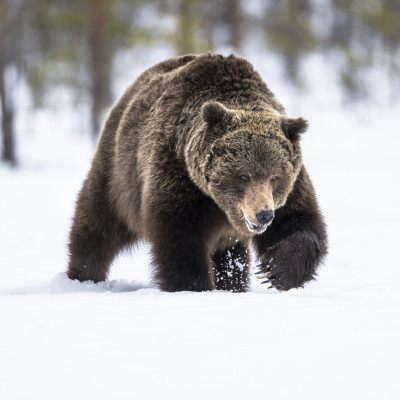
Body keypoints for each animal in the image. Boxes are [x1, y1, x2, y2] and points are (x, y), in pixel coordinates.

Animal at [66, 52, 328, 290]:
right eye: (243, 176)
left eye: (275, 177)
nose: (264, 214)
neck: (219, 205)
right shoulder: (178, 175)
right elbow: (181, 242)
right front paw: (195, 286)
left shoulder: (292, 187)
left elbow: (299, 223)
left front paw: (275, 269)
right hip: (120, 172)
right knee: (97, 226)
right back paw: (83, 275)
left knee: (232, 257)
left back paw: (232, 285)